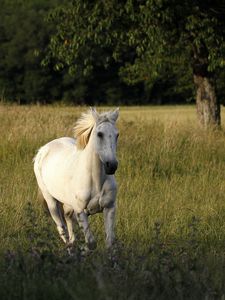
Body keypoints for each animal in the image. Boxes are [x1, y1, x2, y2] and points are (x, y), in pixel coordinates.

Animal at [33, 107, 119, 248]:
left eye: (117, 135)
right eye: (99, 134)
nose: (111, 166)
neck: (96, 181)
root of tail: (42, 150)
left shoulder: (109, 208)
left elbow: (110, 242)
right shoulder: (80, 210)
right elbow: (91, 243)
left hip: (68, 207)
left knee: (69, 228)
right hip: (51, 202)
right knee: (63, 231)